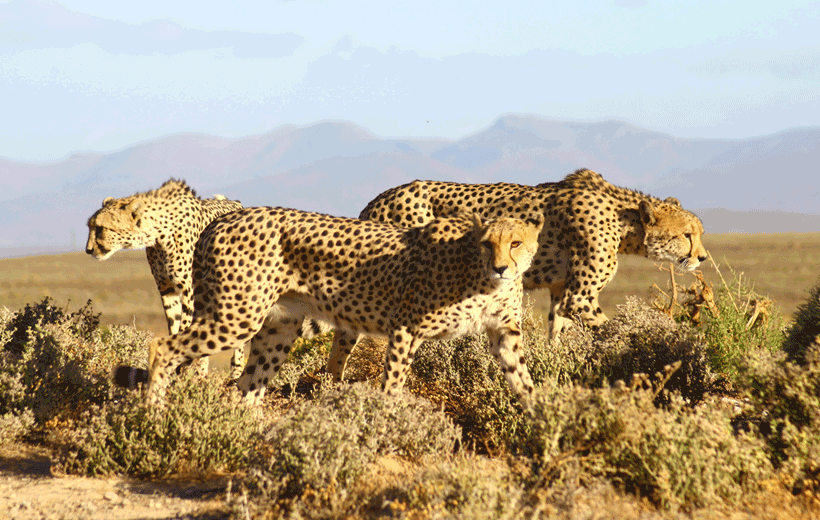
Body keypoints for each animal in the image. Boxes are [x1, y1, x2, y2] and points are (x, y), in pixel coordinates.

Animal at [85, 179, 244, 378]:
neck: (159, 233)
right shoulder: (167, 288)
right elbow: (174, 324)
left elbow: (185, 326)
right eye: (90, 227)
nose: (88, 250)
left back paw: (236, 372)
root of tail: (235, 202)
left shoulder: (190, 290)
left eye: (101, 228)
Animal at [118, 206, 542, 409]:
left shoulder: (504, 333)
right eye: (488, 243)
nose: (501, 267)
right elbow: (392, 386)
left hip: (278, 329)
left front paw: (543, 425)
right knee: (162, 347)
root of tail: (224, 218)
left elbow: (524, 382)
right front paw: (388, 424)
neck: (478, 273)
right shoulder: (405, 329)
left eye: (515, 243)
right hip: (236, 317)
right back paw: (154, 414)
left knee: (248, 386)